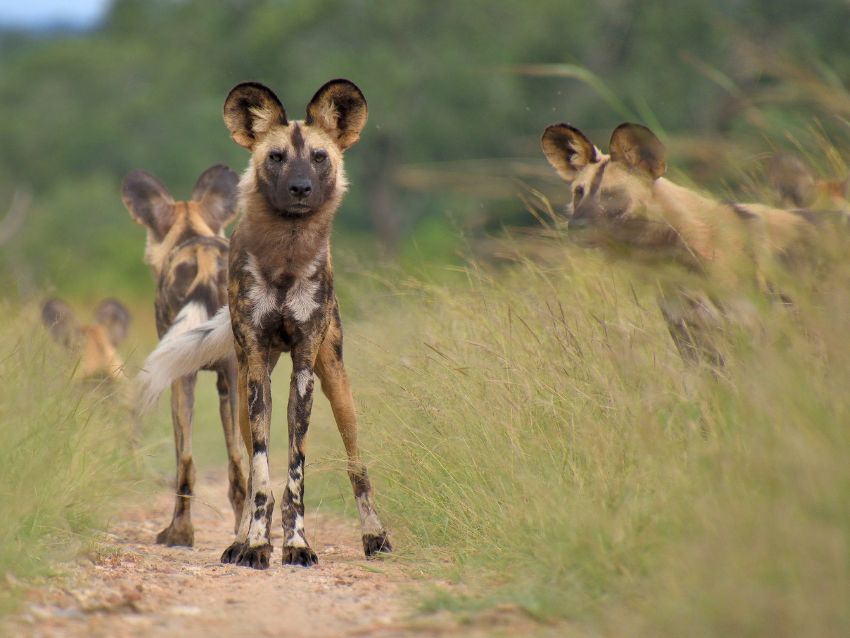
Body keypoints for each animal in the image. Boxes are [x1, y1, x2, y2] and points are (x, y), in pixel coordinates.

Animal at [121, 166, 245, 552]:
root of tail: (202, 257)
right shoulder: (223, 380)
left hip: (185, 378)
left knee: (191, 462)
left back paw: (179, 534)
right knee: (231, 460)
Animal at [137, 80, 390, 568]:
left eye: (319, 156)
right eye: (276, 156)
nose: (300, 187)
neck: (286, 257)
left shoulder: (305, 367)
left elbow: (294, 474)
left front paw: (297, 544)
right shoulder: (252, 367)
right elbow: (258, 471)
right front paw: (255, 543)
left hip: (337, 384)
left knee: (357, 466)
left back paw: (375, 536)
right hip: (242, 386)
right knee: (248, 474)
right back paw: (240, 541)